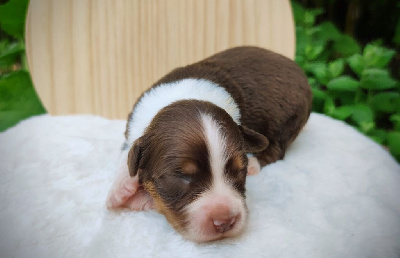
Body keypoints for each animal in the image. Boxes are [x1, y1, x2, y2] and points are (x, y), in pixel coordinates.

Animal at [104, 45, 310, 242]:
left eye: (239, 170)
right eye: (182, 176)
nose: (225, 222)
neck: (184, 96)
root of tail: (295, 67)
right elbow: (128, 152)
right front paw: (121, 190)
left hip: (287, 118)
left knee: (276, 149)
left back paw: (255, 162)